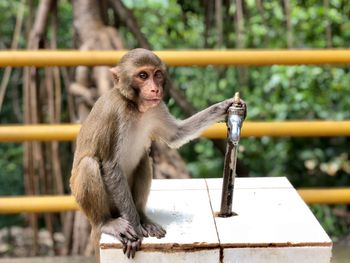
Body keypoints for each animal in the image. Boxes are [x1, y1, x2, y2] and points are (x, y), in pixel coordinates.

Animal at [69, 48, 246, 260]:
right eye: (143, 76)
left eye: (157, 74)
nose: (155, 89)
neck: (134, 106)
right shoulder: (113, 112)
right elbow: (110, 165)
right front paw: (136, 228)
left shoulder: (156, 107)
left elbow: (176, 134)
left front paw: (226, 106)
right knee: (89, 164)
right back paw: (107, 223)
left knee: (144, 159)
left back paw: (143, 217)